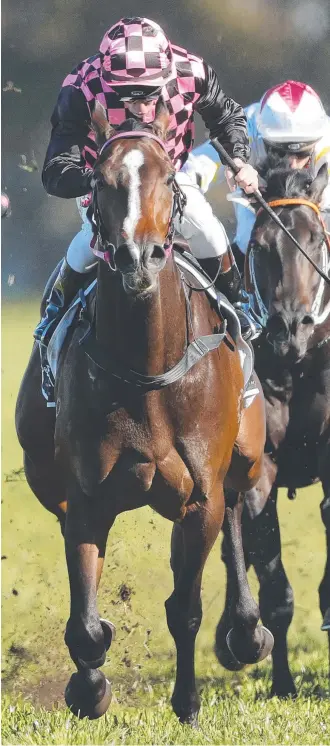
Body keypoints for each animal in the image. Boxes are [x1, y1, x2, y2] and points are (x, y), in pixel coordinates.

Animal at [15, 101, 272, 716]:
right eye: (101, 182)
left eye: (167, 176)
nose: (138, 256)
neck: (148, 367)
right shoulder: (85, 494)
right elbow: (86, 622)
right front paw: (90, 687)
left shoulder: (199, 496)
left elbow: (185, 608)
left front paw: (189, 703)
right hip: (44, 470)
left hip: (245, 453)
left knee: (236, 504)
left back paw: (247, 630)